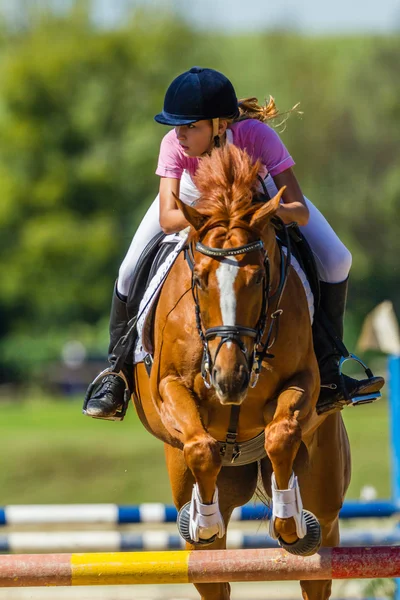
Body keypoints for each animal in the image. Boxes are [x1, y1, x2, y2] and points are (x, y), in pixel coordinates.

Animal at [134, 145, 350, 600]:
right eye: (199, 280)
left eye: (258, 278)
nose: (229, 380)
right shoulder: (168, 387)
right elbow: (201, 447)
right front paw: (203, 520)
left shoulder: (303, 381)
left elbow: (281, 434)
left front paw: (288, 520)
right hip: (196, 483)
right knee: (212, 571)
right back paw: (202, 518)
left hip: (325, 482)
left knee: (318, 557)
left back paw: (299, 521)